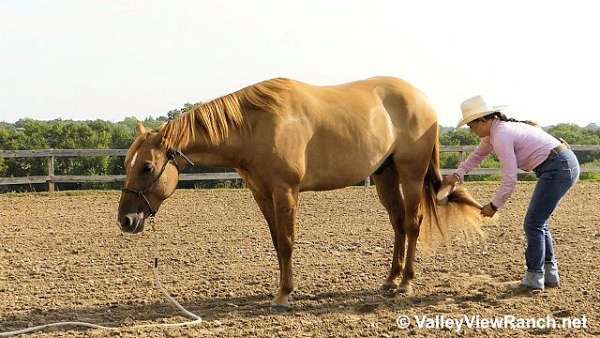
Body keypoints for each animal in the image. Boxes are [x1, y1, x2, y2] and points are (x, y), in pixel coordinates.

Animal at [117, 76, 482, 308]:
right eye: (127, 163)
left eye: (146, 167)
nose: (125, 220)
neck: (255, 126)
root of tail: (422, 99)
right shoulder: (262, 194)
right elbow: (277, 242)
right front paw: (280, 290)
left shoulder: (286, 192)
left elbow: (288, 242)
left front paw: (284, 295)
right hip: (385, 175)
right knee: (397, 225)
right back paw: (390, 279)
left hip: (410, 175)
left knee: (411, 223)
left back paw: (405, 282)